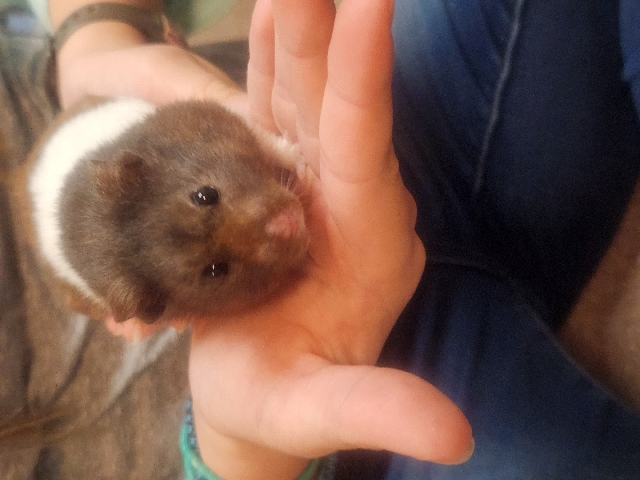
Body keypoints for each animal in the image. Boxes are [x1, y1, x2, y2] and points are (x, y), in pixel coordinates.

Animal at [12, 97, 309, 325]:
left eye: (205, 194)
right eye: (215, 270)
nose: (289, 222)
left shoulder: (220, 116)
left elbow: (271, 143)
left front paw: (304, 165)